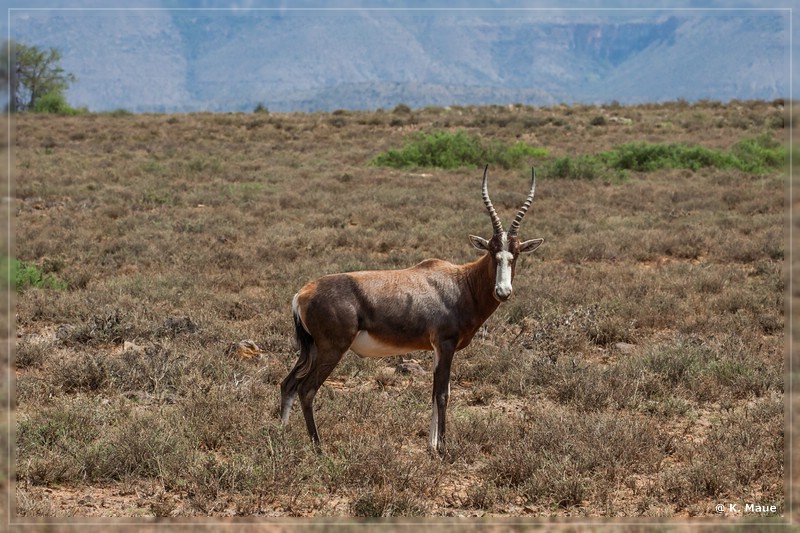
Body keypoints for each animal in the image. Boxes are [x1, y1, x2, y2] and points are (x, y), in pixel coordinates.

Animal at [278, 166, 540, 454]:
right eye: (493, 251)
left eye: (516, 253)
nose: (503, 291)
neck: (460, 282)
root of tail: (302, 294)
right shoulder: (446, 344)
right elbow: (443, 394)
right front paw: (443, 449)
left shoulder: (437, 349)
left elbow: (436, 391)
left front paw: (431, 445)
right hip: (331, 349)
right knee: (306, 389)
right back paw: (318, 447)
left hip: (310, 349)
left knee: (288, 384)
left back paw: (280, 437)